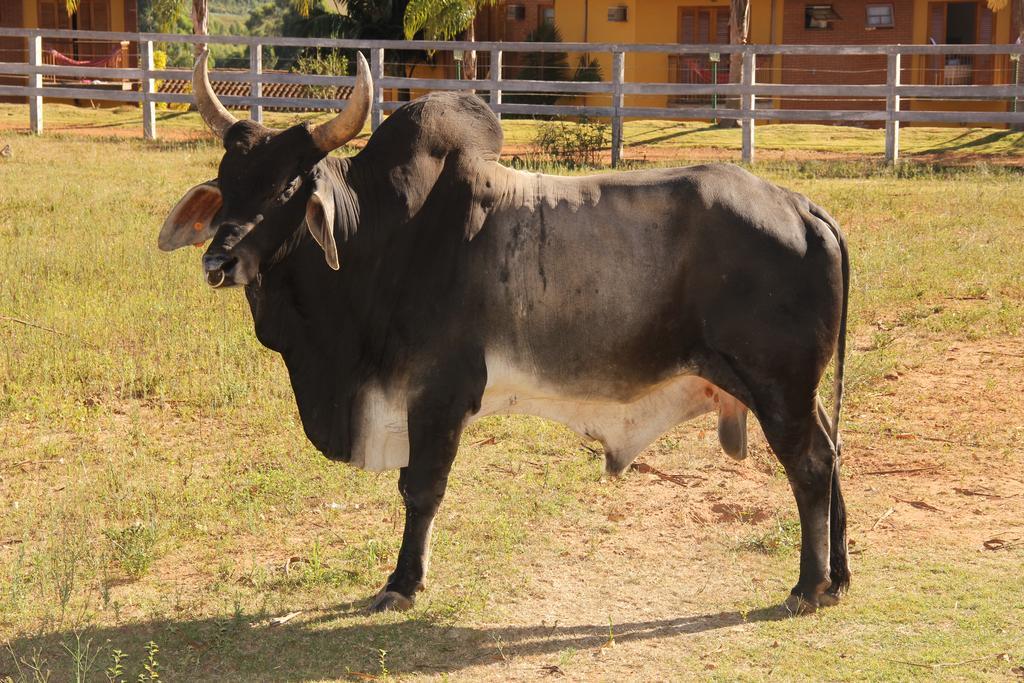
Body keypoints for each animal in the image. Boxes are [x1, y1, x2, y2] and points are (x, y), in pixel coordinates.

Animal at [157, 53, 847, 618]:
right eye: (229, 182)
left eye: (288, 187)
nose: (219, 261)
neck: (383, 241)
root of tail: (802, 208)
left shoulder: (437, 394)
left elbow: (421, 490)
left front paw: (402, 584)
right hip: (795, 390)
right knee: (832, 453)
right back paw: (837, 579)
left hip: (776, 385)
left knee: (811, 465)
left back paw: (807, 586)